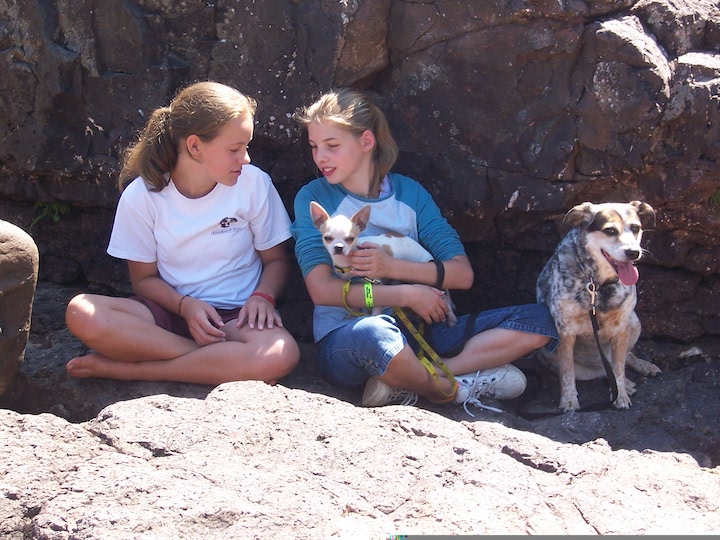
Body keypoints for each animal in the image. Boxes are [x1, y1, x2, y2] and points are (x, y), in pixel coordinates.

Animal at [310, 198, 456, 324]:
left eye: (350, 239)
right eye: (327, 238)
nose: (339, 247)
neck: (348, 263)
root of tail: (430, 257)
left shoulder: (376, 286)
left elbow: (376, 308)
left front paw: (375, 317)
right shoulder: (351, 285)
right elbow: (355, 305)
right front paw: (353, 314)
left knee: (445, 299)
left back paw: (451, 318)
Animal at [536, 200, 660, 412]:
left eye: (636, 228)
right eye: (610, 230)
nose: (633, 252)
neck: (597, 284)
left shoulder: (622, 328)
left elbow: (619, 369)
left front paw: (621, 395)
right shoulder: (565, 331)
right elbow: (567, 372)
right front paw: (569, 401)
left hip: (635, 322)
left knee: (625, 358)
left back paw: (641, 370)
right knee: (601, 372)